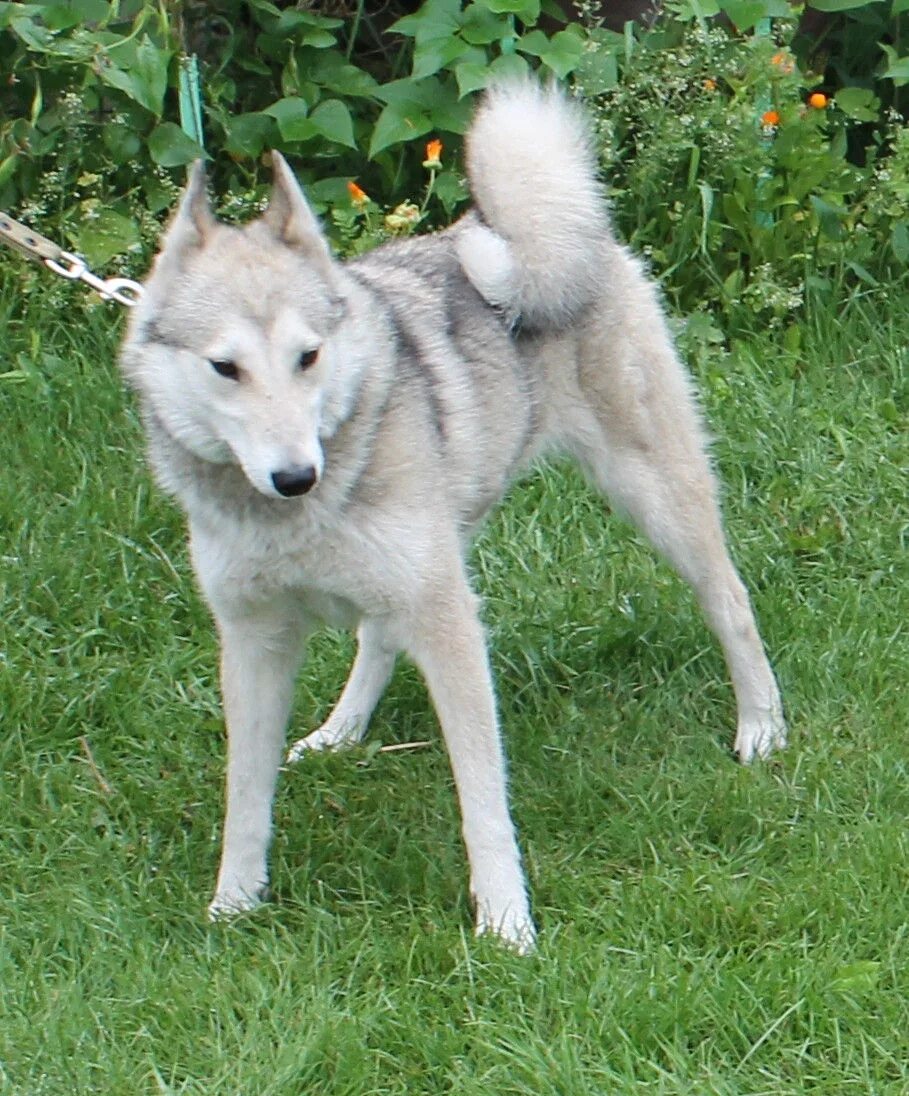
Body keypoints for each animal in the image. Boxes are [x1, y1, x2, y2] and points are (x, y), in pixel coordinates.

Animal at [118, 79, 789, 951]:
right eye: (224, 368)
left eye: (308, 356)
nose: (296, 475)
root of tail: (538, 232)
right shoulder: (254, 640)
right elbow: (245, 796)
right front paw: (233, 903)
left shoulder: (450, 628)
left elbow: (482, 801)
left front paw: (504, 922)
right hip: (441, 547)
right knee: (376, 637)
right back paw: (340, 732)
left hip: (652, 495)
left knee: (731, 604)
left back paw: (761, 727)